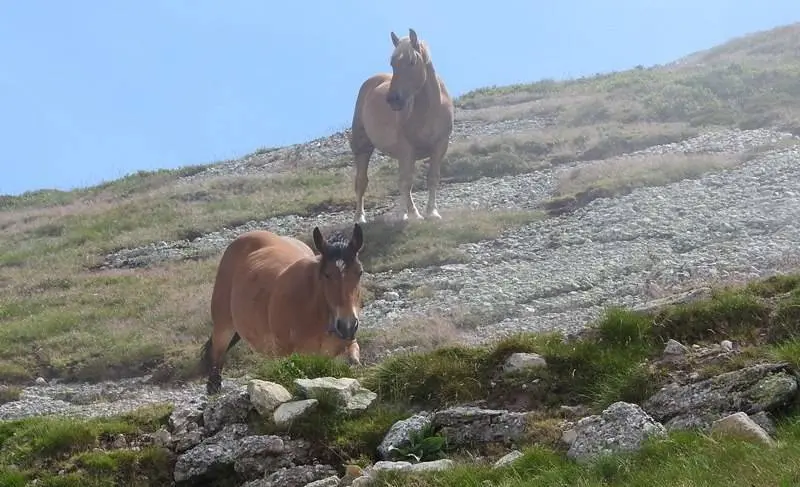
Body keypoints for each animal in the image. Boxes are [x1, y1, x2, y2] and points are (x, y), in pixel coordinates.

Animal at [200, 223, 365, 394]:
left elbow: (353, 363)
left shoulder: (346, 347)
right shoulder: (285, 355)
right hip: (223, 326)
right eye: (327, 274)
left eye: (359, 272)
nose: (347, 326)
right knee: (217, 353)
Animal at [350, 28, 455, 224]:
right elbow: (407, 181)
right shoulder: (407, 148)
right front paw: (414, 214)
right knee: (361, 181)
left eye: (412, 61)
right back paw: (360, 218)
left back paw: (403, 212)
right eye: (392, 63)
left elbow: (432, 178)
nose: (393, 100)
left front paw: (432, 212)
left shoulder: (440, 145)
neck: (430, 109)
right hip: (363, 147)